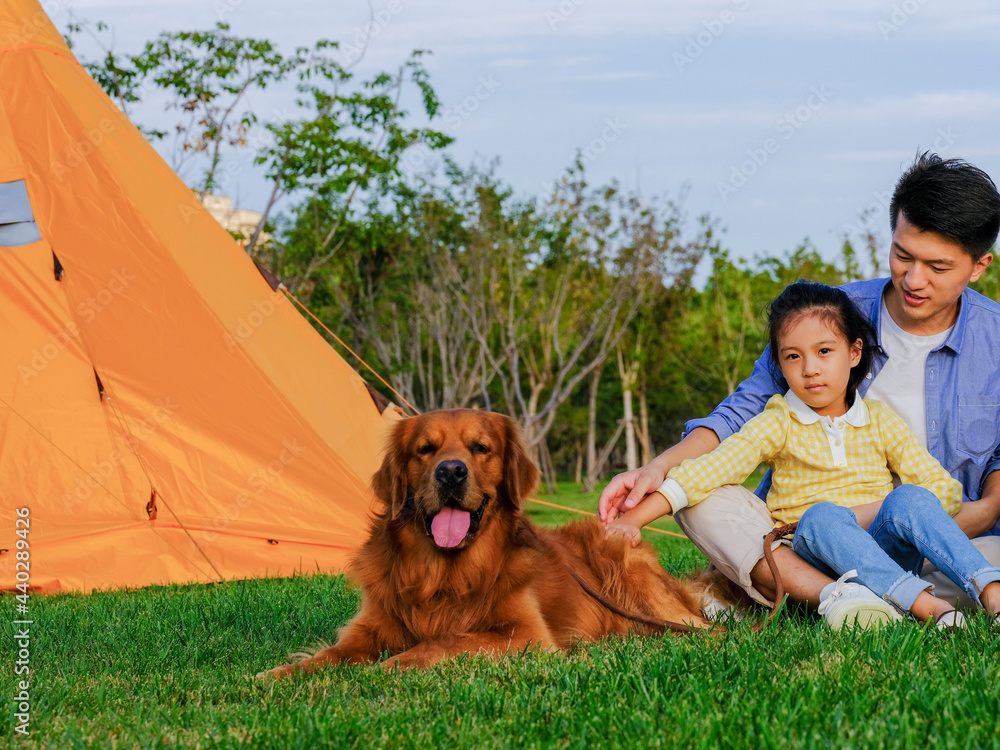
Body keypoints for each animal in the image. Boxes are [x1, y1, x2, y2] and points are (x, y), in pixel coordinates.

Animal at [258, 412, 728, 676]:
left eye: (480, 448)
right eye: (424, 449)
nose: (450, 472)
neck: (442, 572)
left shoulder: (526, 634)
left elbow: (447, 640)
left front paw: (394, 664)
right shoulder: (373, 625)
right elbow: (331, 654)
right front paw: (282, 674)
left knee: (712, 631)